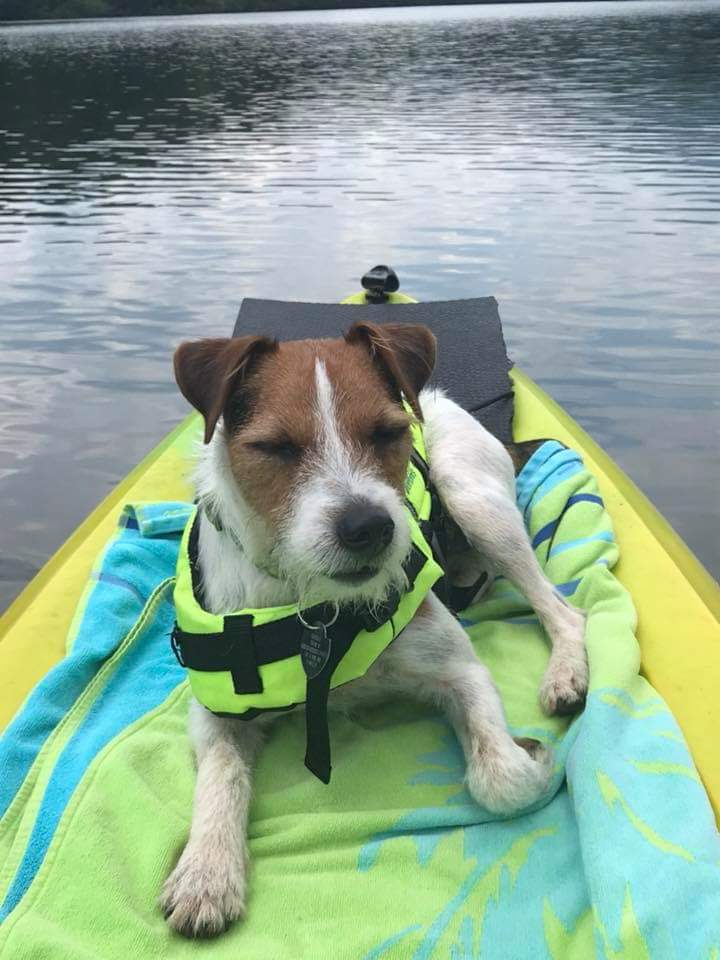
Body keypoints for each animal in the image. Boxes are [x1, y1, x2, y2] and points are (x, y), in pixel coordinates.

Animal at [160, 322, 588, 936]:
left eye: (389, 432)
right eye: (276, 447)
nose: (369, 527)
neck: (315, 609)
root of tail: (441, 400)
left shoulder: (460, 670)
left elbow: (501, 778)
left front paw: (532, 757)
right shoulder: (216, 710)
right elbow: (221, 777)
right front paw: (206, 872)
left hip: (474, 501)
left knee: (561, 609)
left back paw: (565, 672)